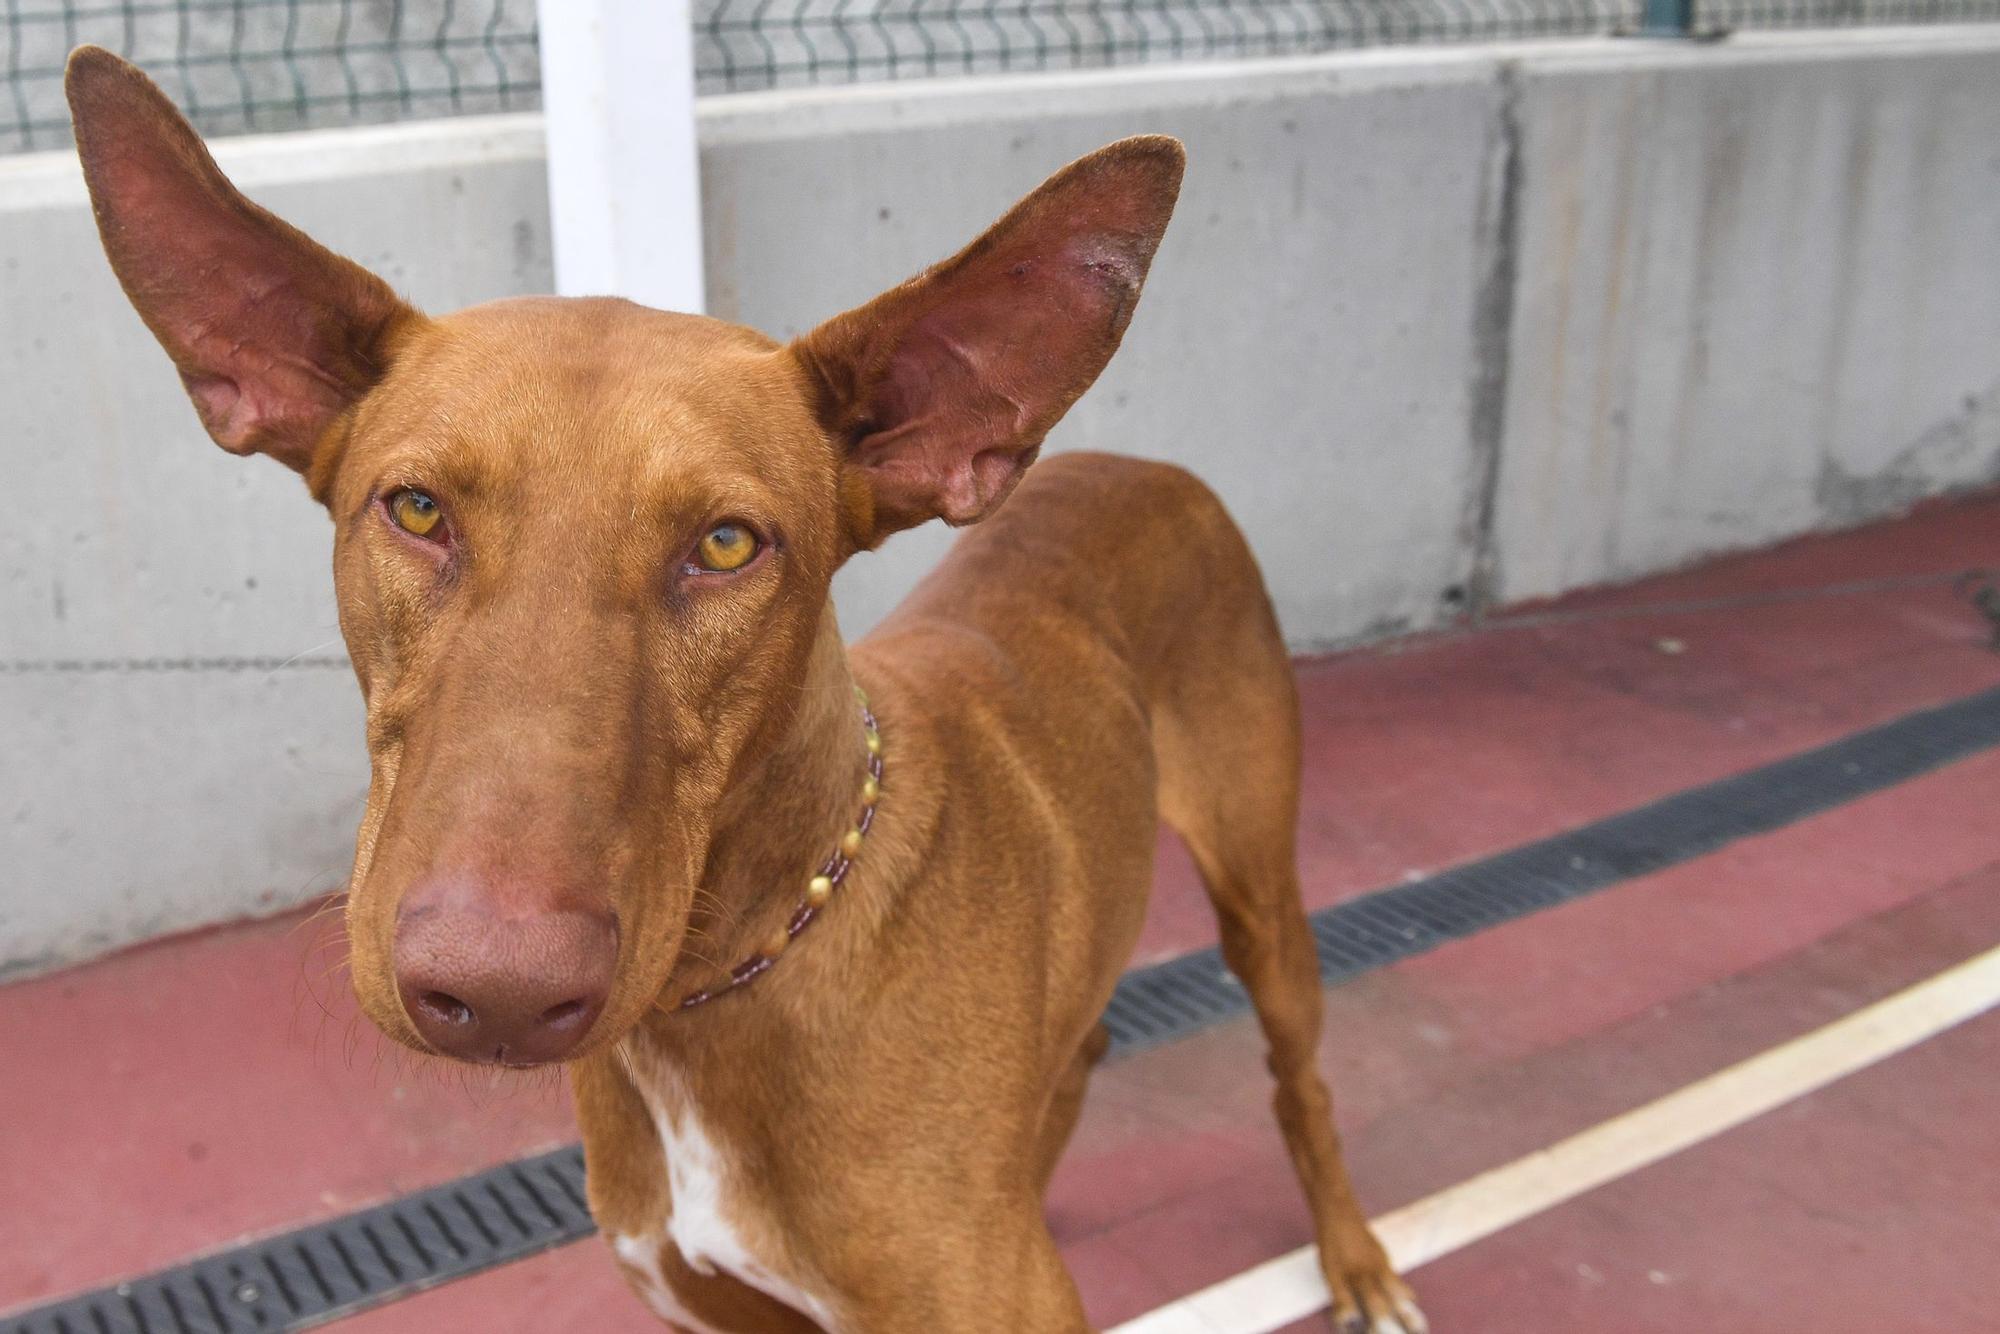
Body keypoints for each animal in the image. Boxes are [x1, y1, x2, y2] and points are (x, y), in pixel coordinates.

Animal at [70, 44, 1424, 1334]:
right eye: (413, 508)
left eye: (725, 543)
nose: (496, 993)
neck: (710, 1004)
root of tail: (1140, 461)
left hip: (1262, 895)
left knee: (1298, 1079)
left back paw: (1355, 1256)